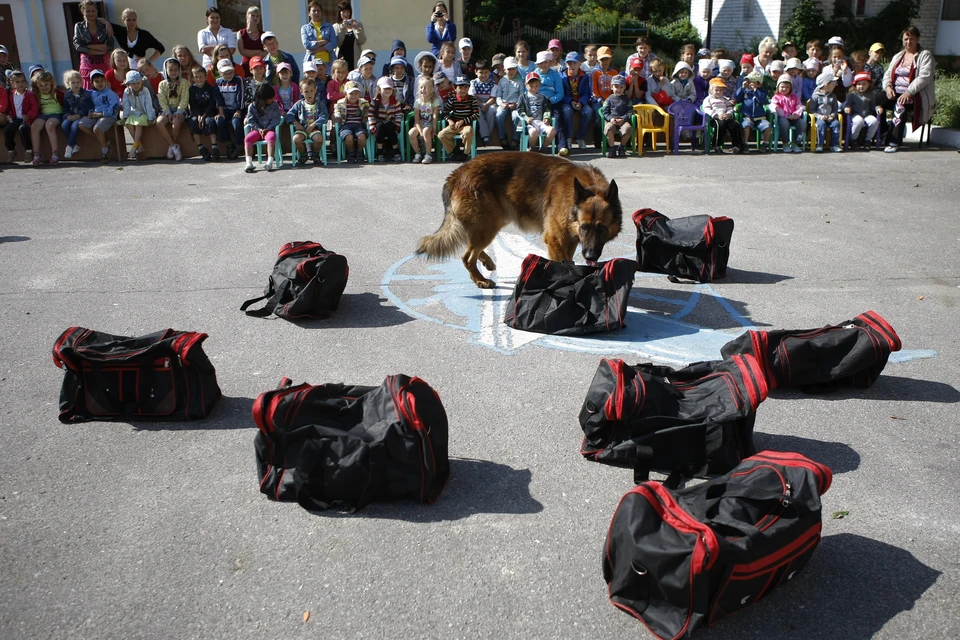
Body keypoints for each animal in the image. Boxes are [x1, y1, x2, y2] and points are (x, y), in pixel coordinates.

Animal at [414, 152, 624, 288]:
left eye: (602, 228)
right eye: (584, 227)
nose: (590, 257)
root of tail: (456, 174)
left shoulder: (570, 239)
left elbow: (569, 260)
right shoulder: (556, 239)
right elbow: (562, 263)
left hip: (490, 223)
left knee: (471, 246)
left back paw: (486, 262)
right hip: (489, 225)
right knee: (467, 256)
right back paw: (480, 280)